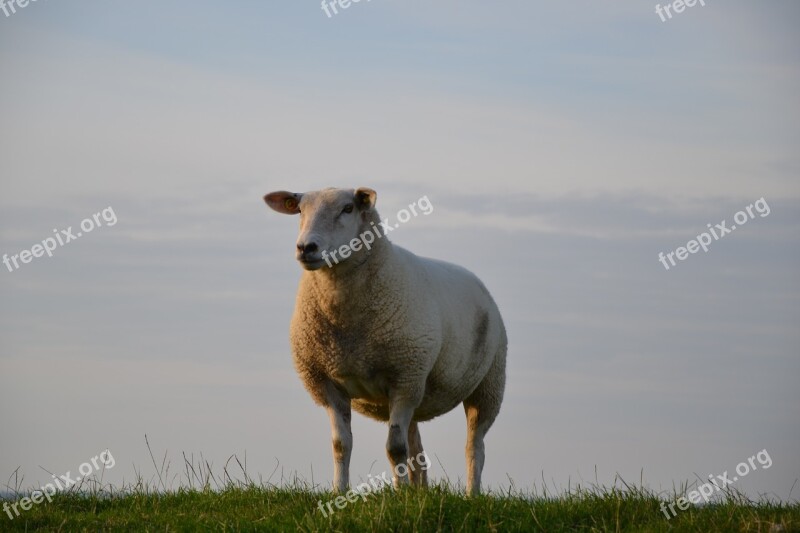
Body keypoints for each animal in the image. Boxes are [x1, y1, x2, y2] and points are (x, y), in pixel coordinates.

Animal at [266, 186, 510, 494]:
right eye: (299, 210)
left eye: (348, 208)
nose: (305, 248)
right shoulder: (326, 382)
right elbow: (341, 445)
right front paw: (340, 491)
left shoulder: (404, 377)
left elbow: (394, 448)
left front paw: (399, 494)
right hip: (420, 390)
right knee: (416, 448)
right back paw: (419, 491)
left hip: (488, 384)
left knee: (474, 446)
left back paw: (471, 494)